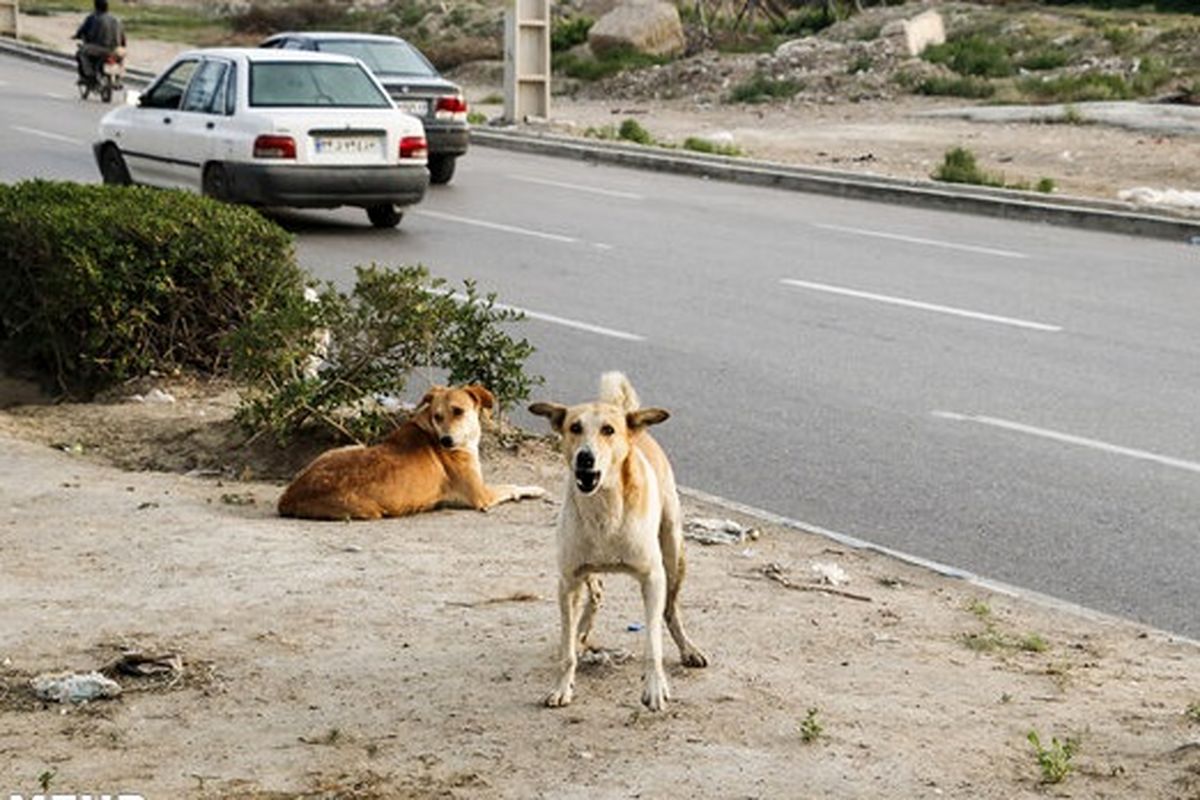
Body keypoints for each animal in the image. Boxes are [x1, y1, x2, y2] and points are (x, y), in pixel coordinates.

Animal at [278, 383, 547, 522]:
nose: (445, 441)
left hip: (348, 447)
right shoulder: (482, 495)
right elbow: (512, 486)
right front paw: (535, 489)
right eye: (438, 416)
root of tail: (289, 497)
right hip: (370, 511)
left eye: (458, 411)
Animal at [530, 371, 705, 710]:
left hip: (674, 550)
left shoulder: (652, 578)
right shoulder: (567, 580)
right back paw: (582, 632)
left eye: (608, 430)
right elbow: (566, 649)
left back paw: (688, 648)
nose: (585, 458)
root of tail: (634, 422)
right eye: (574, 427)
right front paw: (563, 686)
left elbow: (653, 643)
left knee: (669, 610)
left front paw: (655, 687)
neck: (604, 510)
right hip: (585, 571)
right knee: (596, 592)